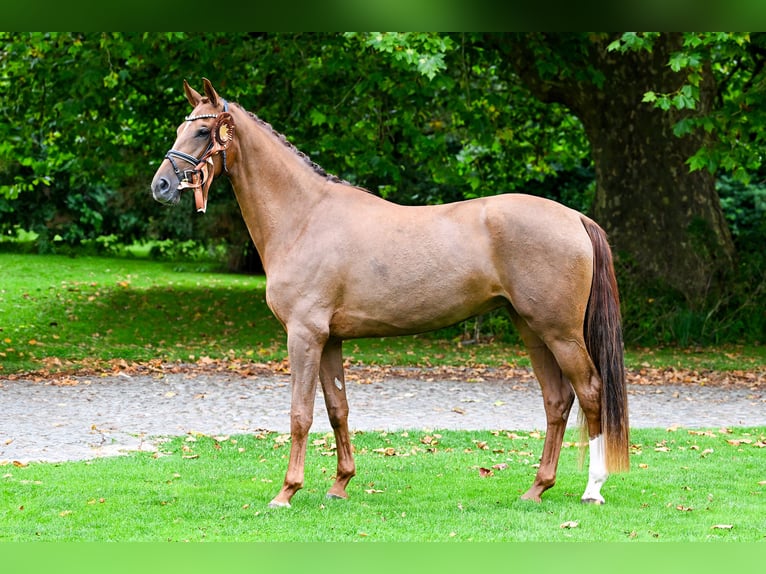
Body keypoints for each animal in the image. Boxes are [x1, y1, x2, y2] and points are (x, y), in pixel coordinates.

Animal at [150, 77, 632, 508]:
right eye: (179, 128)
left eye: (201, 131)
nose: (161, 186)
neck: (305, 217)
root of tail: (575, 218)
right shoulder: (330, 340)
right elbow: (337, 409)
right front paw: (340, 484)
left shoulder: (304, 335)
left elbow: (300, 414)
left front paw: (286, 492)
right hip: (532, 329)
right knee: (557, 400)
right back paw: (536, 488)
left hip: (560, 333)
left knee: (590, 392)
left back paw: (592, 489)